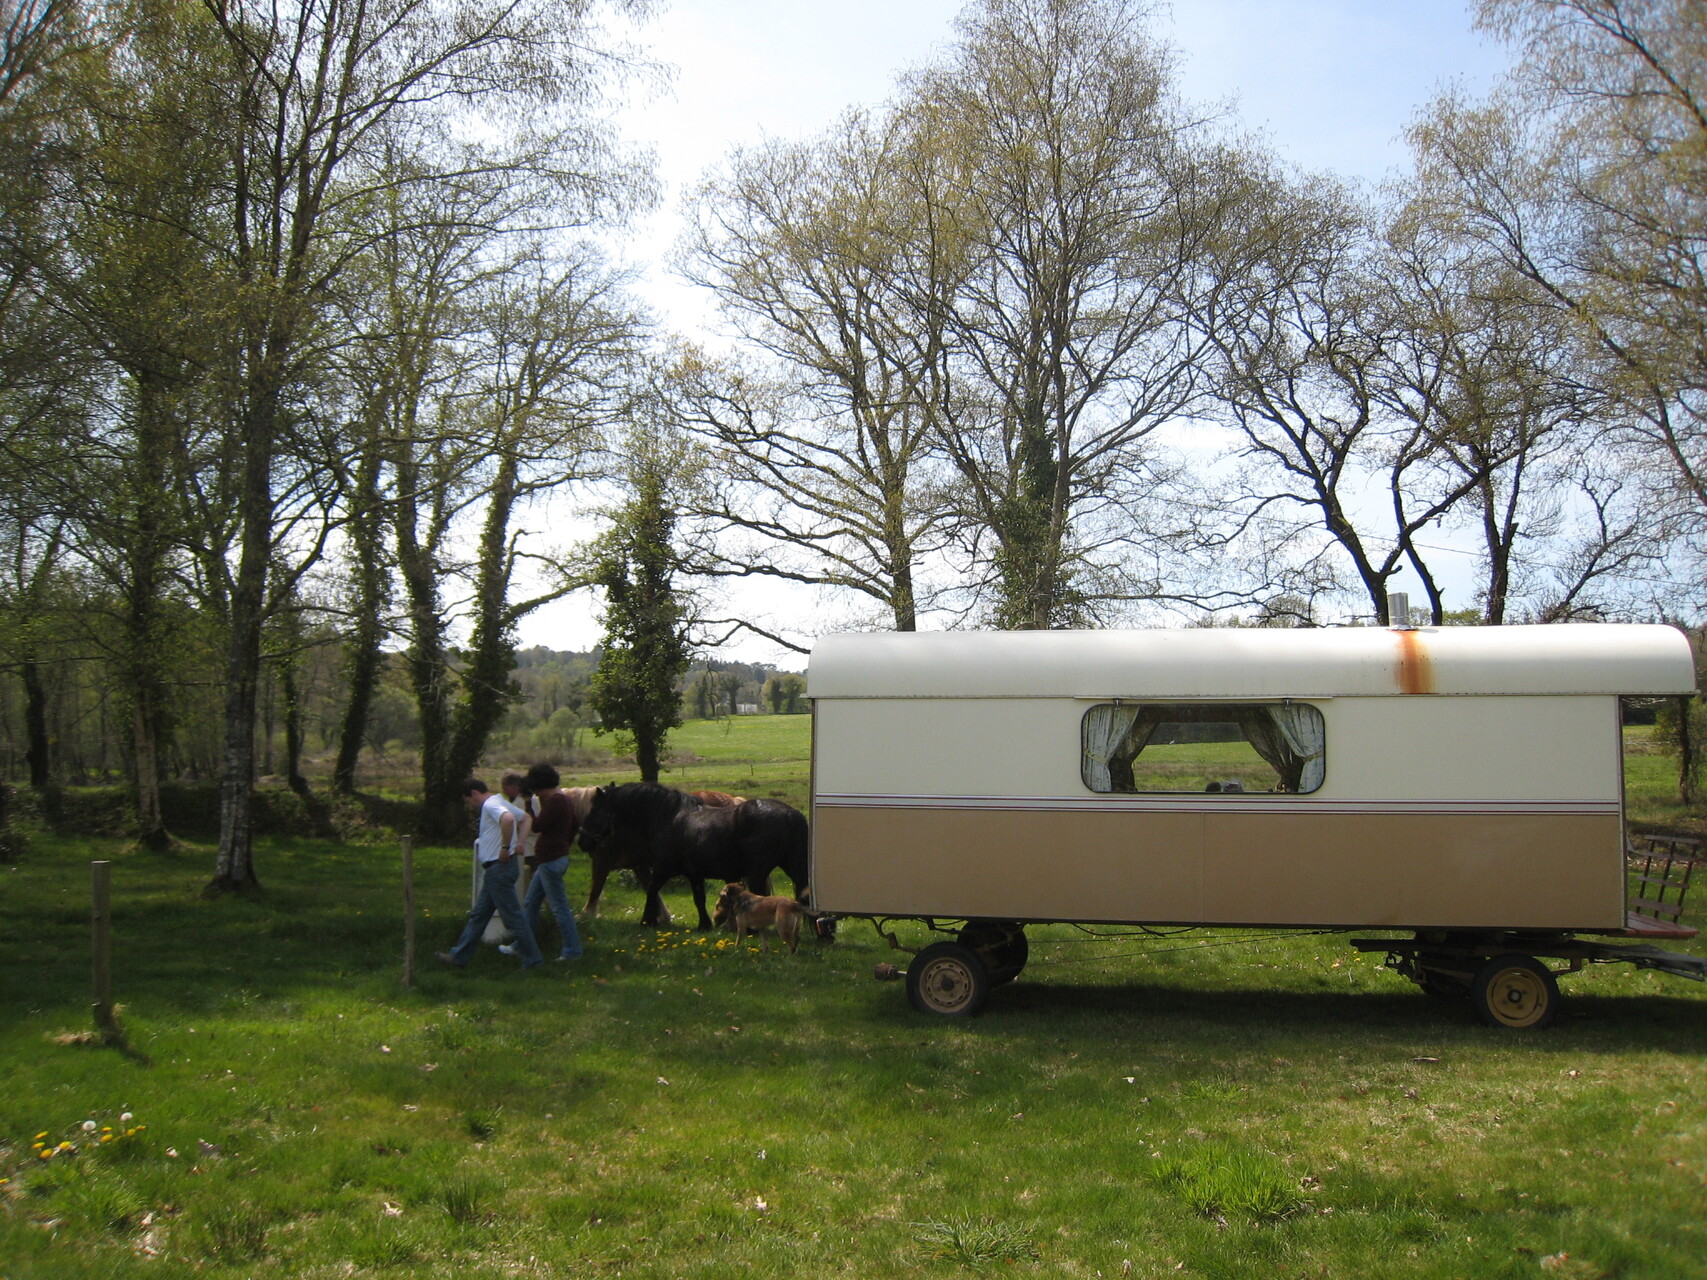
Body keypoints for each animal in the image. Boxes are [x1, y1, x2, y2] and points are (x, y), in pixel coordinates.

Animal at [576, 782, 809, 929]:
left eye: (595, 810)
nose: (582, 841)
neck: (669, 817)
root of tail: (790, 813)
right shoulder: (695, 873)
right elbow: (699, 898)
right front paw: (704, 925)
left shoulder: (664, 868)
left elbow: (652, 890)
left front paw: (647, 921)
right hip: (792, 868)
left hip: (757, 873)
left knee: (761, 897)